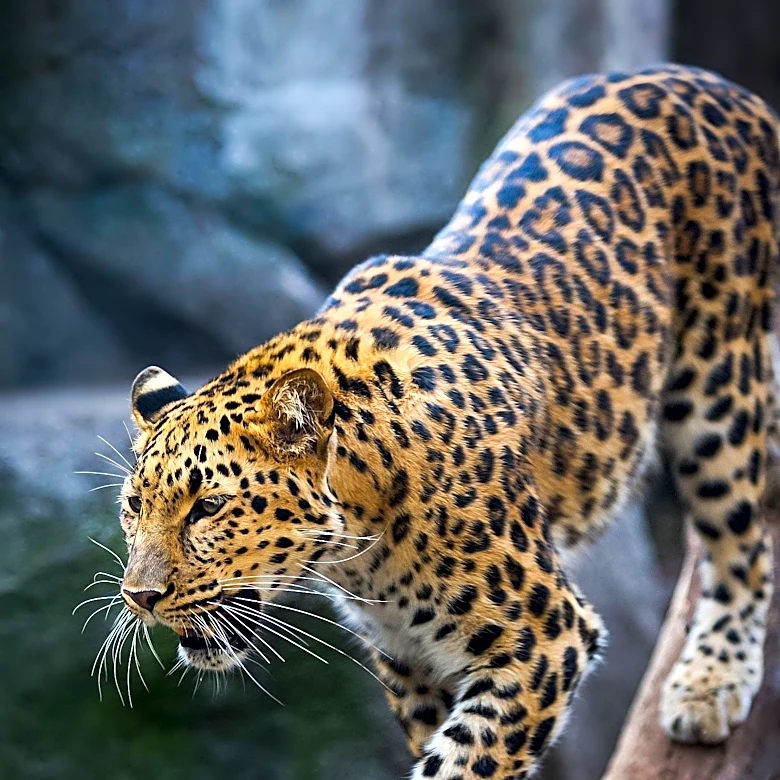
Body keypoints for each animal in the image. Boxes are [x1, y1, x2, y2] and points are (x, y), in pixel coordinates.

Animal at [111, 64, 779, 779]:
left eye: (207, 508)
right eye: (133, 507)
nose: (140, 598)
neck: (362, 542)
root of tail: (710, 81)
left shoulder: (546, 640)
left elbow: (465, 763)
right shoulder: (411, 661)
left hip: (719, 393)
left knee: (744, 544)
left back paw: (708, 684)